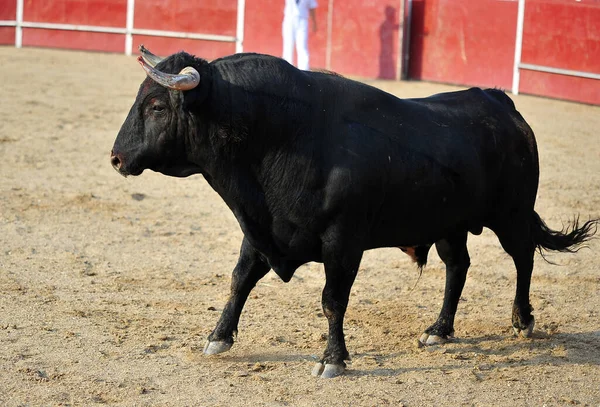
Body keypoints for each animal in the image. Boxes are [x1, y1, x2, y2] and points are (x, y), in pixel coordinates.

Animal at [111, 47, 596, 380]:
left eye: (157, 106)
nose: (116, 158)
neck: (278, 135)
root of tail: (502, 104)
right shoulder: (261, 229)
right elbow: (239, 281)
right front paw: (218, 338)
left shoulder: (342, 242)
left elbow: (332, 300)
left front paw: (332, 360)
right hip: (449, 225)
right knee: (458, 267)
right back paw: (438, 330)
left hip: (511, 213)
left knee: (523, 258)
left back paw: (522, 321)